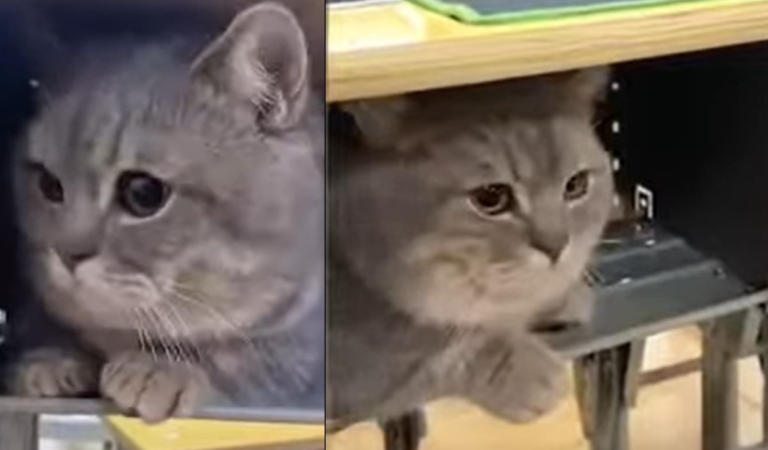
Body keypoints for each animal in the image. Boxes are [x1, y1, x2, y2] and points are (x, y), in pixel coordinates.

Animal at [6, 1, 324, 424]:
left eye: (143, 193)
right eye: (49, 185)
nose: (67, 255)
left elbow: (250, 358)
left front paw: (163, 368)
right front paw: (49, 355)